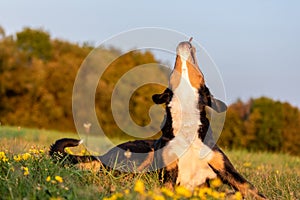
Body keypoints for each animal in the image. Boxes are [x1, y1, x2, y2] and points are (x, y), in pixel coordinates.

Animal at [49, 38, 268, 199]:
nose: (188, 42)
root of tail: (103, 155)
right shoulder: (169, 173)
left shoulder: (224, 169)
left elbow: (250, 189)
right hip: (142, 152)